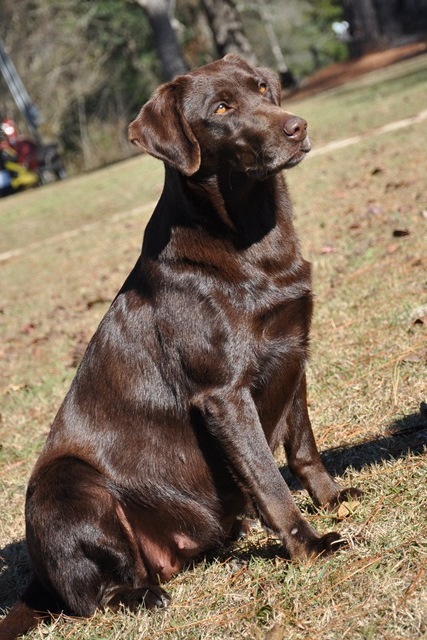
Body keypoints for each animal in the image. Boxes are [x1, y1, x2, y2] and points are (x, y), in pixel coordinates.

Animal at [0, 56, 362, 640]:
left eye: (263, 89)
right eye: (222, 108)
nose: (297, 127)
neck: (250, 242)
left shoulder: (294, 352)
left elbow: (303, 447)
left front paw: (333, 500)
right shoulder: (223, 395)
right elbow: (268, 477)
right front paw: (309, 546)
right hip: (68, 485)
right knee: (92, 596)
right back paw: (142, 597)